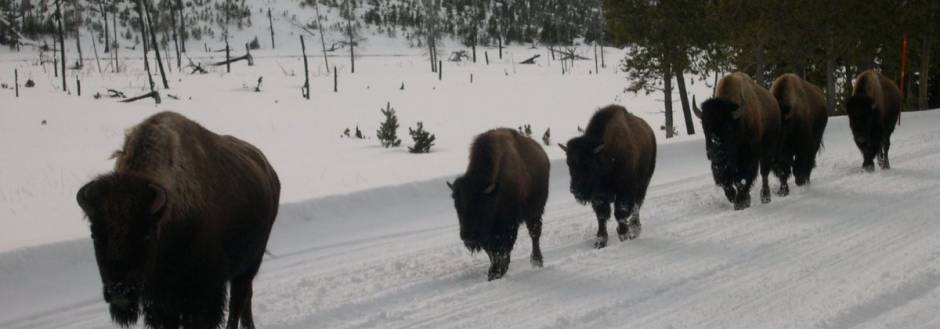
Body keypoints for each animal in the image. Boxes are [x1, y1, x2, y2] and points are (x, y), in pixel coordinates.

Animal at [75, 112, 280, 328]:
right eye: (95, 235)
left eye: (146, 234)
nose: (119, 292)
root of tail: (268, 171)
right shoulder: (159, 300)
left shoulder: (203, 293)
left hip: (249, 266)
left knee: (237, 304)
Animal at [448, 128, 552, 280]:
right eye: (457, 206)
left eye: (479, 206)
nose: (467, 237)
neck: (494, 192)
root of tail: (543, 155)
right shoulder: (488, 233)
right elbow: (492, 252)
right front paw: (493, 272)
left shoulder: (508, 226)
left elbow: (503, 250)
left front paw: (497, 272)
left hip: (535, 211)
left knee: (535, 234)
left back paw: (537, 261)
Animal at [560, 106, 656, 247]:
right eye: (569, 163)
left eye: (589, 164)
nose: (575, 190)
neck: (605, 154)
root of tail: (650, 131)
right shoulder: (599, 196)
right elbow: (602, 216)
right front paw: (600, 242)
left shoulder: (624, 190)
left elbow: (620, 212)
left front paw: (623, 235)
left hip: (644, 182)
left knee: (637, 205)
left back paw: (634, 230)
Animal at [700, 72, 784, 210]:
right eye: (704, 127)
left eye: (728, 127)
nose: (714, 152)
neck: (739, 122)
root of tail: (774, 103)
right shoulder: (721, 164)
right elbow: (727, 181)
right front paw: (733, 197)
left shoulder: (749, 158)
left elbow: (743, 179)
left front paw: (741, 203)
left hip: (767, 152)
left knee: (764, 174)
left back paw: (765, 197)